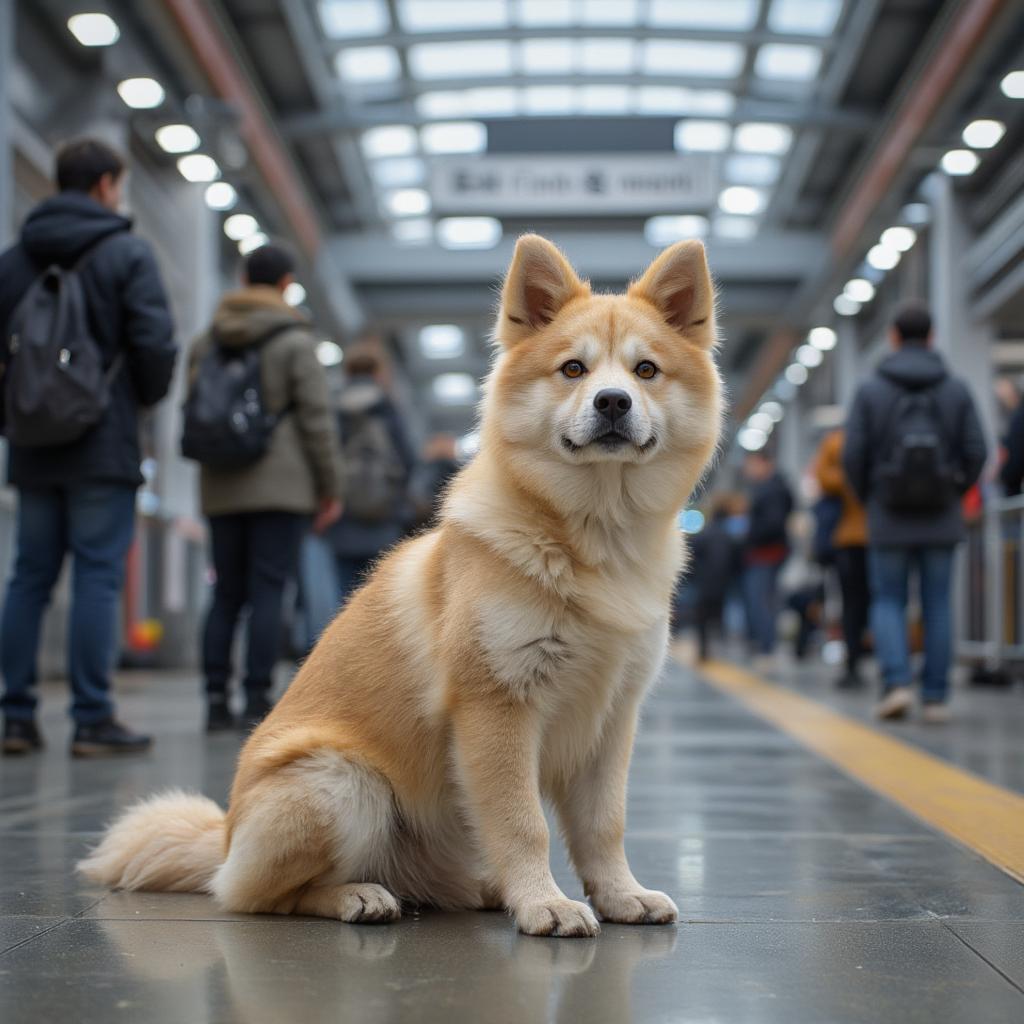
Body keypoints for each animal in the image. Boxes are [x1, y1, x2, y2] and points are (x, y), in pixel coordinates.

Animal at [77, 232, 720, 937]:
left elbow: (605, 825)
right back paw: (356, 896)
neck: (589, 542)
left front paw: (620, 894)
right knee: (259, 894)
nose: (613, 403)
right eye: (574, 370)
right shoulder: (497, 707)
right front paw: (543, 902)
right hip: (343, 783)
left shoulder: (612, 719)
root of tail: (223, 839)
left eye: (646, 371)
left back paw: (477, 887)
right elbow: (524, 823)